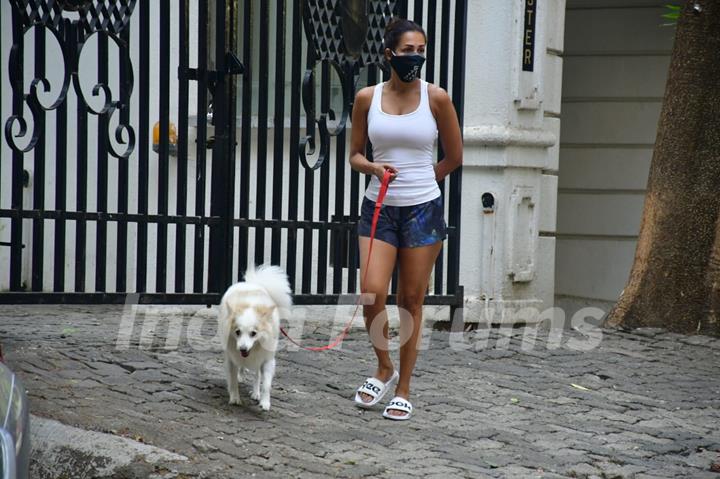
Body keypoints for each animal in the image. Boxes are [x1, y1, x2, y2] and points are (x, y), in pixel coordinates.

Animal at [218, 264, 292, 410]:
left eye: (254, 333)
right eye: (237, 332)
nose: (243, 348)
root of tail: (252, 283)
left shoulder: (267, 360)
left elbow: (266, 384)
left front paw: (265, 402)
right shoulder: (232, 358)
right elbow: (233, 380)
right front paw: (234, 398)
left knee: (257, 374)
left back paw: (256, 393)